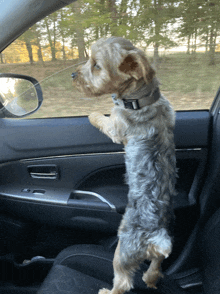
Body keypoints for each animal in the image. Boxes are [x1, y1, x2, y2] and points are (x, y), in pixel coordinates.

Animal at [71, 38, 176, 292]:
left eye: (96, 65)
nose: (73, 74)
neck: (143, 99)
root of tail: (155, 238)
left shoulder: (116, 125)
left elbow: (104, 119)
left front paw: (93, 113)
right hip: (155, 255)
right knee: (155, 266)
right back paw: (151, 280)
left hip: (123, 251)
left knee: (123, 282)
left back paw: (106, 290)